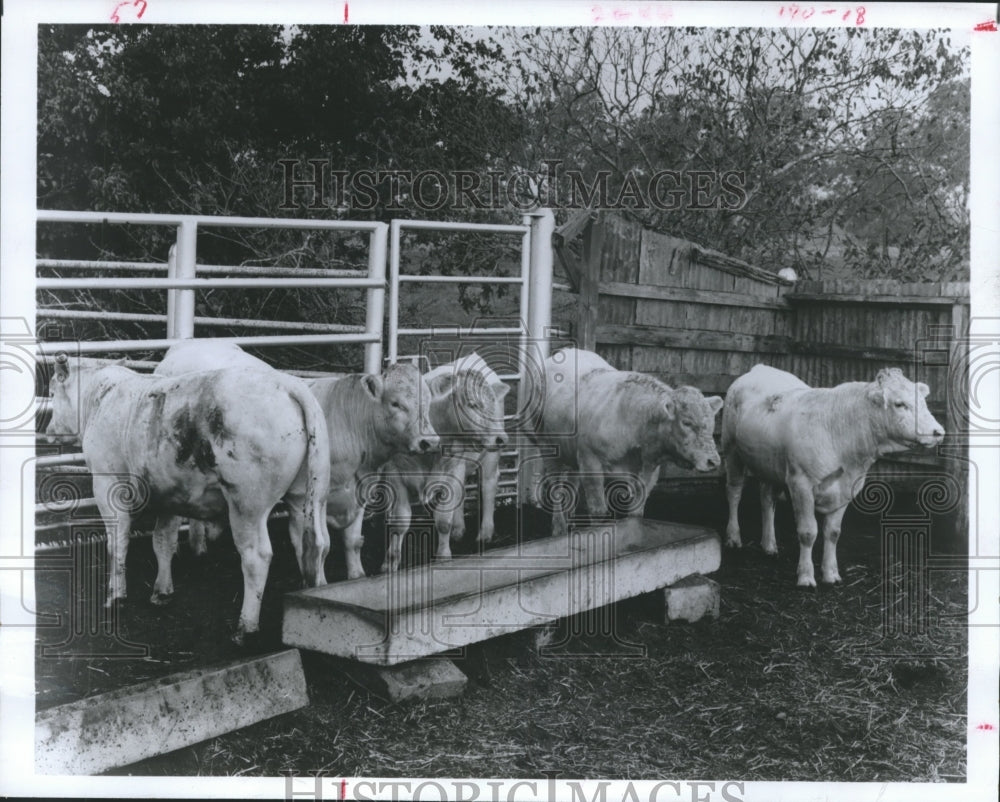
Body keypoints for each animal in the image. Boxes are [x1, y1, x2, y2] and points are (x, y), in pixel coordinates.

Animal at [720, 366, 944, 584]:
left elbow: (833, 533)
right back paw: (733, 537)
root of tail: (759, 368)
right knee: (734, 492)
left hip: (768, 464)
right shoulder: (801, 484)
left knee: (767, 499)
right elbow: (808, 532)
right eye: (899, 404)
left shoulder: (845, 489)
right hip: (731, 449)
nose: (938, 432)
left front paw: (831, 574)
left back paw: (769, 545)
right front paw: (806, 576)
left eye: (923, 402)